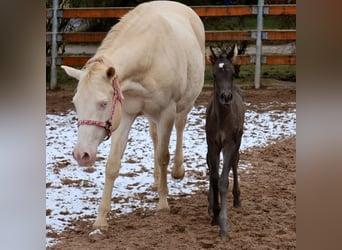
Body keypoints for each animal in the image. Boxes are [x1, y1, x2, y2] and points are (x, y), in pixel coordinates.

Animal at [61, 1, 204, 232]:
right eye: (75, 103)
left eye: (103, 103)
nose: (82, 154)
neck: (149, 59)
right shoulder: (124, 114)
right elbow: (112, 165)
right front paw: (101, 219)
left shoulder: (167, 112)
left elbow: (163, 156)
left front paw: (163, 204)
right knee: (155, 136)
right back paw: (156, 180)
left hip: (184, 105)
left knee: (180, 127)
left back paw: (177, 170)